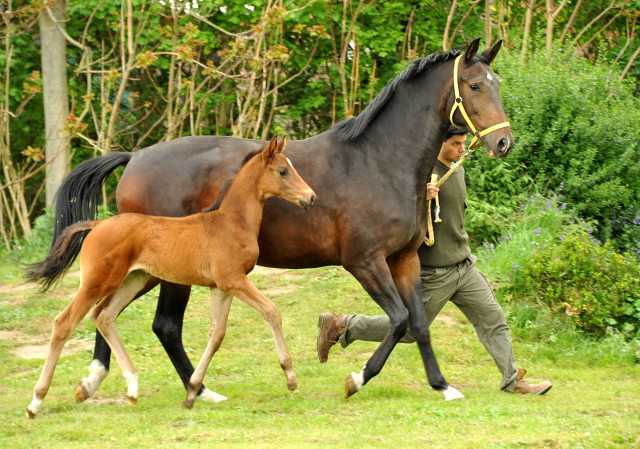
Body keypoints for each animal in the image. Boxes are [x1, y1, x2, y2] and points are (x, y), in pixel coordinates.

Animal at [25, 137, 316, 416]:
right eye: (283, 171)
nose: (311, 197)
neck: (230, 222)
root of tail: (97, 224)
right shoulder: (233, 280)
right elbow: (271, 311)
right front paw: (290, 377)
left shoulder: (220, 287)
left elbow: (216, 335)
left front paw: (193, 392)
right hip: (98, 282)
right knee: (65, 322)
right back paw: (36, 402)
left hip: (133, 280)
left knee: (103, 316)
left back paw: (132, 387)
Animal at [41, 39, 516, 402]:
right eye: (475, 85)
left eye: (497, 83)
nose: (504, 142)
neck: (379, 161)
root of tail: (135, 157)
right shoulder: (364, 261)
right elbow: (398, 320)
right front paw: (355, 379)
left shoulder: (405, 260)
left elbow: (418, 323)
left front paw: (442, 385)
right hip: (170, 274)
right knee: (161, 325)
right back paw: (196, 389)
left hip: (144, 270)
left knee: (106, 312)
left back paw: (95, 381)